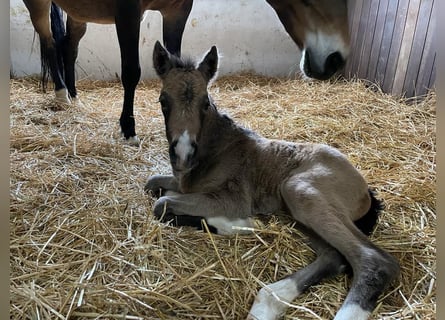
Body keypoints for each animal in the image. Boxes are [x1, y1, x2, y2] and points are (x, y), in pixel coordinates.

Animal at [146, 41, 398, 320]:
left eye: (205, 104)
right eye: (163, 101)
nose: (183, 153)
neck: (217, 149)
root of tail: (366, 190)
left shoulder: (233, 199)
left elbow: (162, 204)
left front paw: (237, 221)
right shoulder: (182, 182)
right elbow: (153, 185)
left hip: (298, 191)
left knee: (373, 259)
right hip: (298, 212)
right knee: (333, 256)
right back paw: (268, 302)